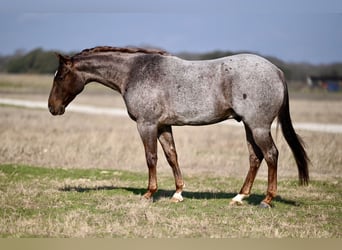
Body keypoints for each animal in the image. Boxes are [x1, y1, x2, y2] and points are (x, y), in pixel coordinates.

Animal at [48, 46, 310, 208]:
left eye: (60, 76)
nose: (52, 107)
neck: (135, 72)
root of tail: (277, 71)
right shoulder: (164, 126)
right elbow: (172, 156)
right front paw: (177, 193)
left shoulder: (147, 124)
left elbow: (151, 158)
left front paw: (149, 194)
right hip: (248, 126)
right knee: (255, 158)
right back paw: (239, 197)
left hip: (258, 127)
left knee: (271, 155)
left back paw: (267, 200)